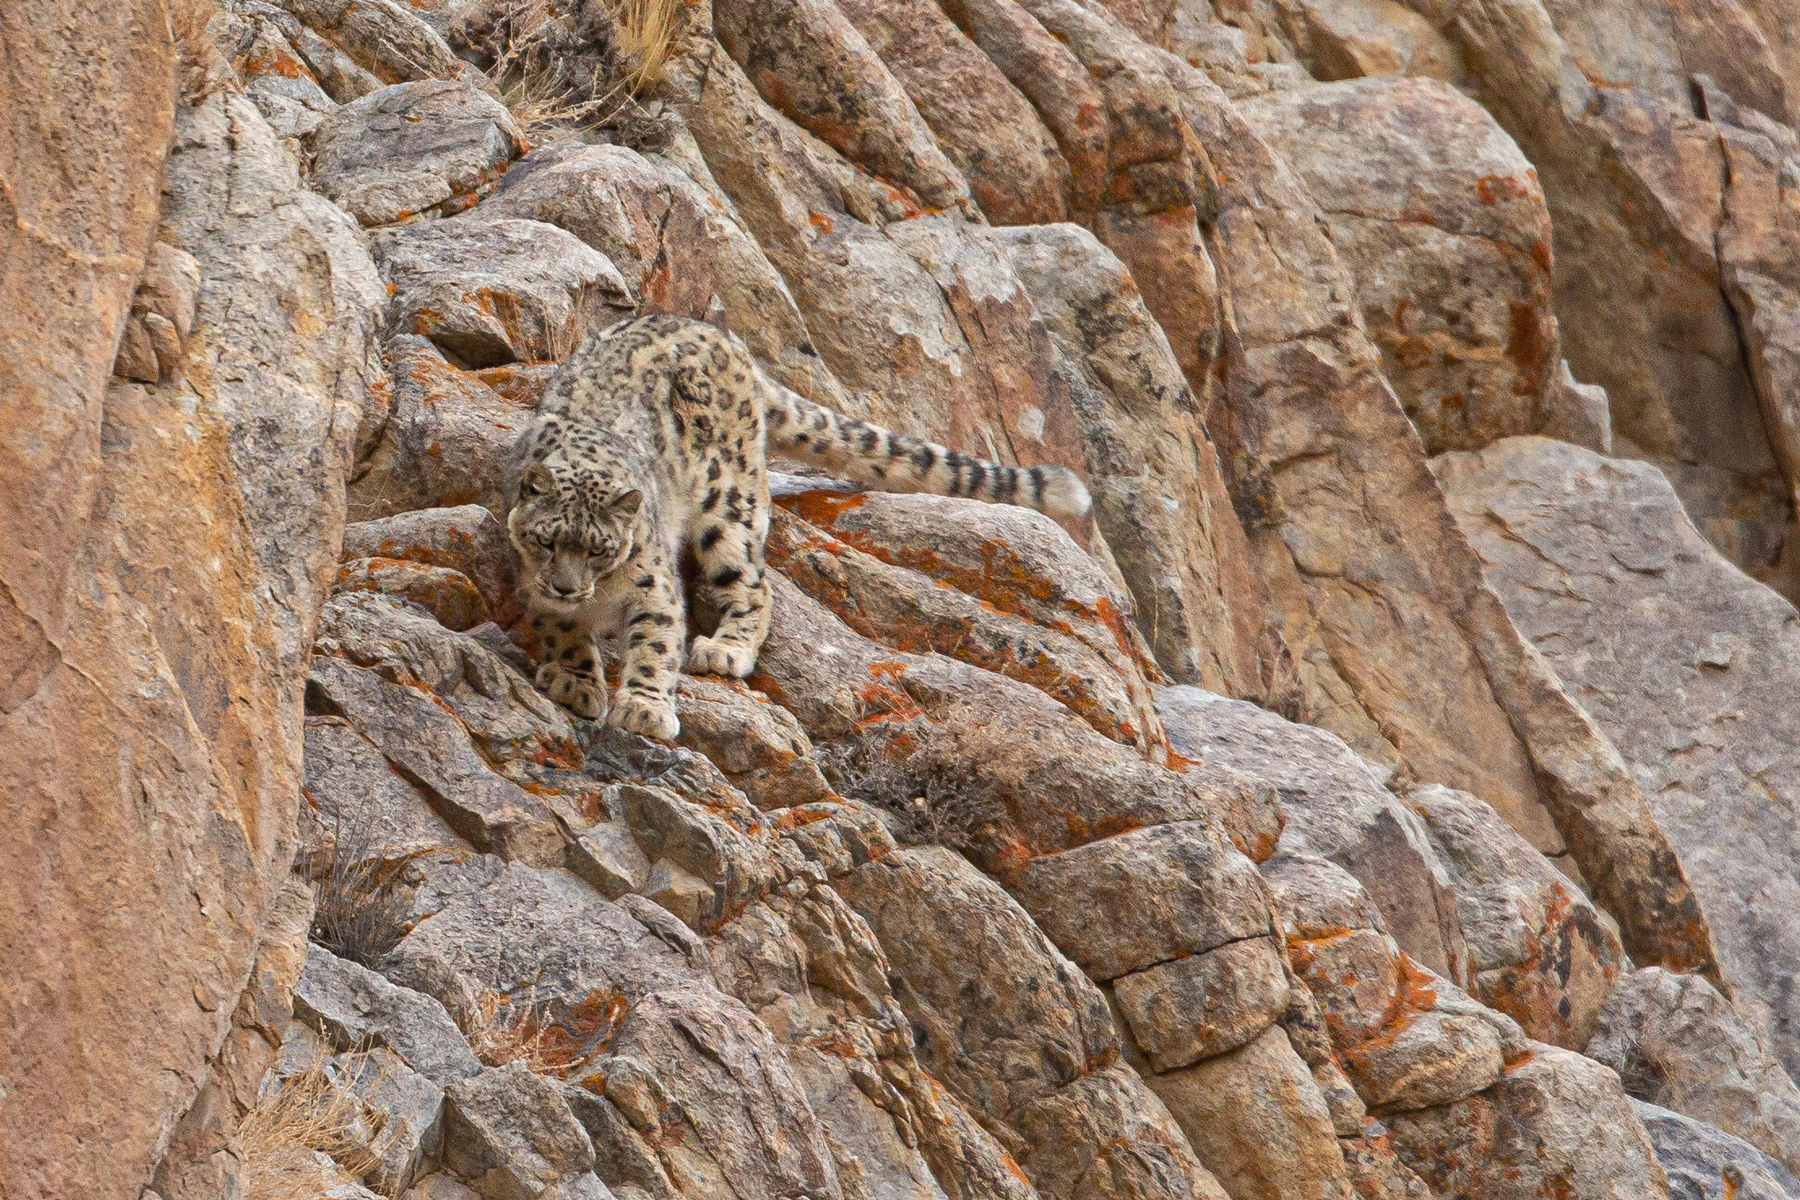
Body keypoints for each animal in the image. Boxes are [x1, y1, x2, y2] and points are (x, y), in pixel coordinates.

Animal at [507, 313, 1094, 741]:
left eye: (600, 549)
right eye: (547, 540)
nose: (567, 587)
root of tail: (725, 338)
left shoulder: (653, 585)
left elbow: (656, 639)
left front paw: (645, 708)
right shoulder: (533, 587)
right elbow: (561, 633)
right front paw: (575, 682)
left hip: (730, 504)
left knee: (754, 584)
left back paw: (726, 650)